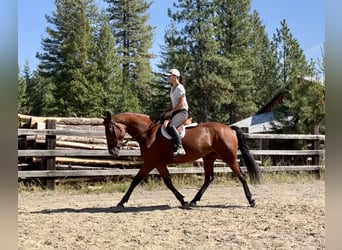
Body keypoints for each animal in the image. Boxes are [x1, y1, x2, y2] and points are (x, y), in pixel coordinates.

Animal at [103, 112, 260, 208]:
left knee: (241, 176)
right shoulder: (159, 164)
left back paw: (251, 200)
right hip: (209, 158)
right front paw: (183, 200)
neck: (147, 134)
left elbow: (135, 181)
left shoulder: (150, 162)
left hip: (229, 157)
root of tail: (229, 128)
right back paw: (194, 201)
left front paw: (121, 202)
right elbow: (168, 182)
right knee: (208, 178)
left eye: (110, 130)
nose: (112, 151)